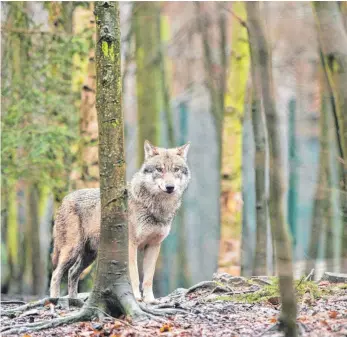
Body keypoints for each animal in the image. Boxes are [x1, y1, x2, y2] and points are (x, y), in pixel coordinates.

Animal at [49, 140, 190, 304]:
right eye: (159, 169)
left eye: (176, 170)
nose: (170, 187)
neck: (156, 207)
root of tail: (65, 199)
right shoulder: (131, 245)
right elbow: (134, 275)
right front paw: (136, 297)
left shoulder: (154, 245)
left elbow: (148, 278)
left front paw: (150, 300)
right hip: (72, 250)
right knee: (56, 274)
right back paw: (54, 300)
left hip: (89, 255)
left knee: (72, 273)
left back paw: (74, 301)